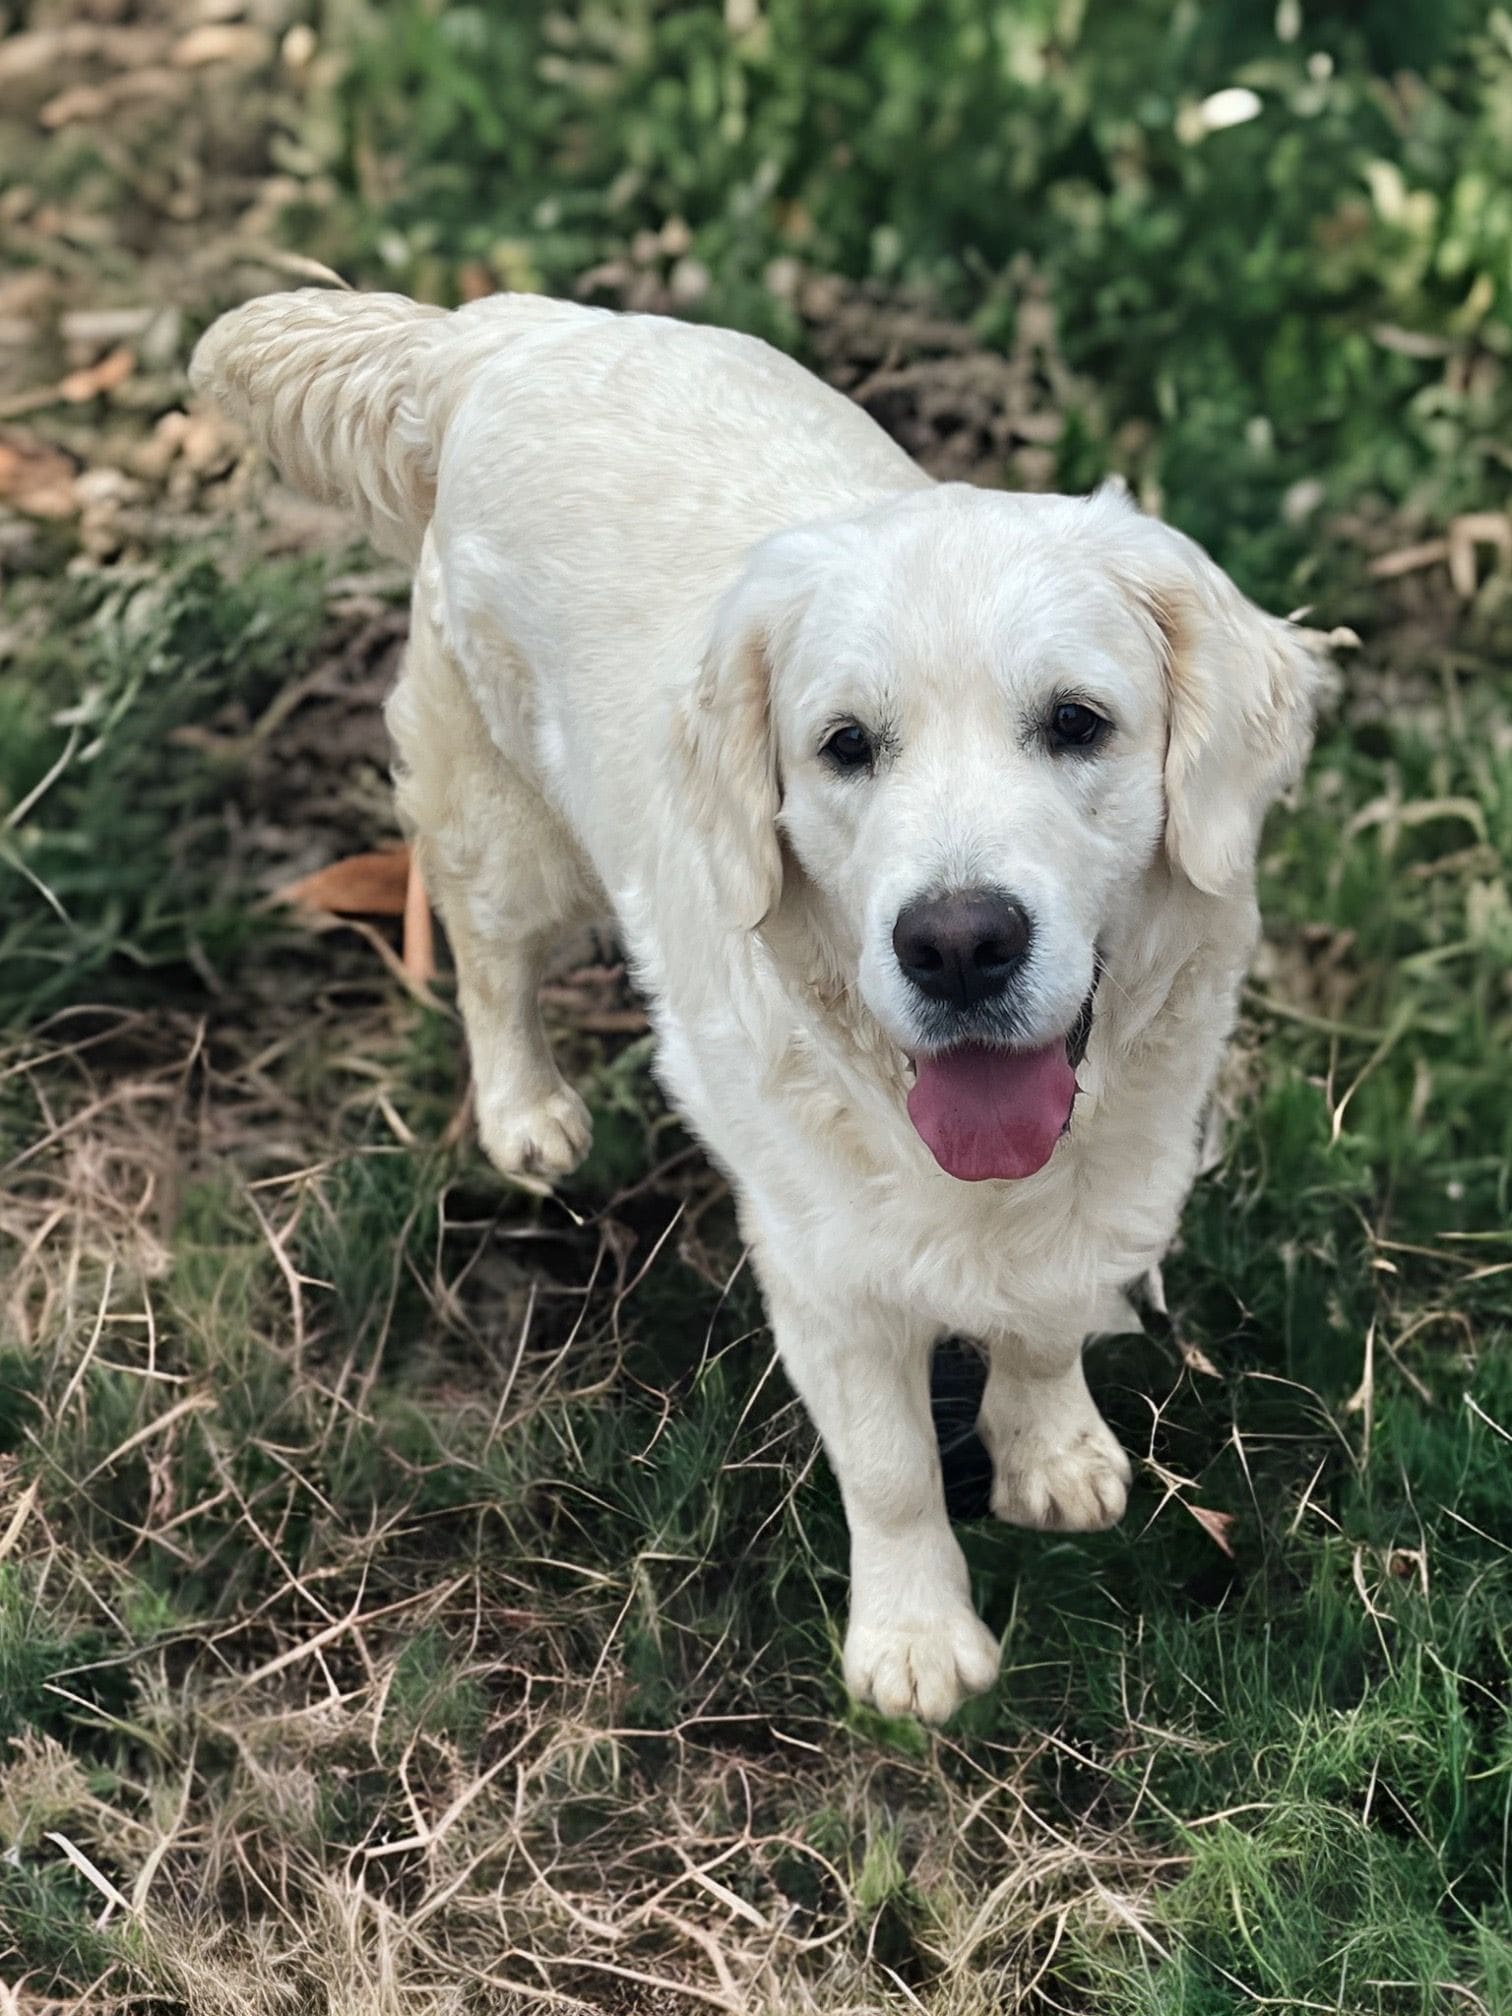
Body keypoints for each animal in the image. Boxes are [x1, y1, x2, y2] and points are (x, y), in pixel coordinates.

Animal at [195, 292, 1330, 1725]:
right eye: (845, 746)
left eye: (1078, 723)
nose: (959, 945)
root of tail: (498, 329)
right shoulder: (825, 1267)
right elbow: (892, 1468)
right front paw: (915, 1641)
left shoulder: (1107, 1181)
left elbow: (1045, 1321)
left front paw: (1050, 1448)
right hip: (508, 828)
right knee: (487, 957)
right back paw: (526, 1114)